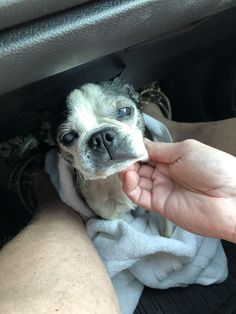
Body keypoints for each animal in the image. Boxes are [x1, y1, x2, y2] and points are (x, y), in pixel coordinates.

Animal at [42, 78, 171, 236]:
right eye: (67, 137)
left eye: (124, 111)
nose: (101, 137)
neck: (115, 177)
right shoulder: (109, 214)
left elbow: (166, 229)